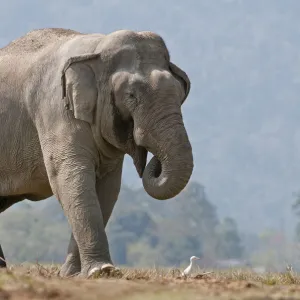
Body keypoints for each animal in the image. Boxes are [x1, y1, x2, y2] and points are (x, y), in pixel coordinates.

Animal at [0, 28, 193, 278]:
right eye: (131, 96)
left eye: (181, 94)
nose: (153, 162)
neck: (97, 47)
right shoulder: (55, 109)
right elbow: (70, 178)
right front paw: (102, 270)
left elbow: (108, 188)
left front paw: (74, 275)